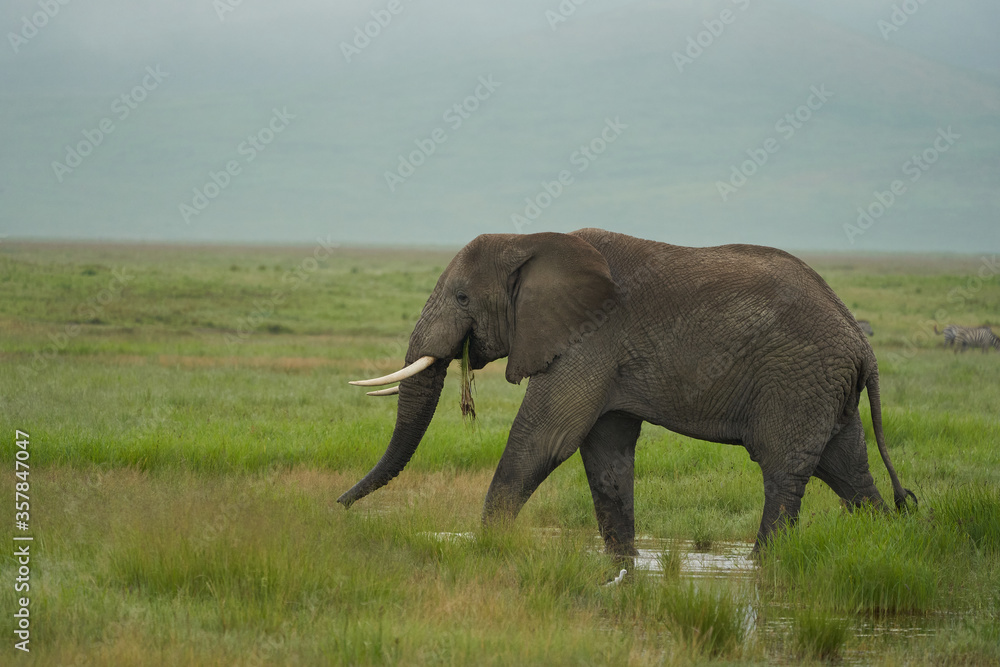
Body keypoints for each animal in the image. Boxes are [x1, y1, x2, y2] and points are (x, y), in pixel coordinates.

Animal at [340, 229, 916, 559]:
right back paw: (885, 544)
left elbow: (545, 439)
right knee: (848, 469)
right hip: (824, 388)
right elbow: (605, 453)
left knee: (784, 471)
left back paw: (764, 563)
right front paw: (620, 565)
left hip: (798, 379)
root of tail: (862, 344)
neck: (531, 238)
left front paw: (487, 547)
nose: (337, 507)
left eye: (462, 297)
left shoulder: (589, 337)